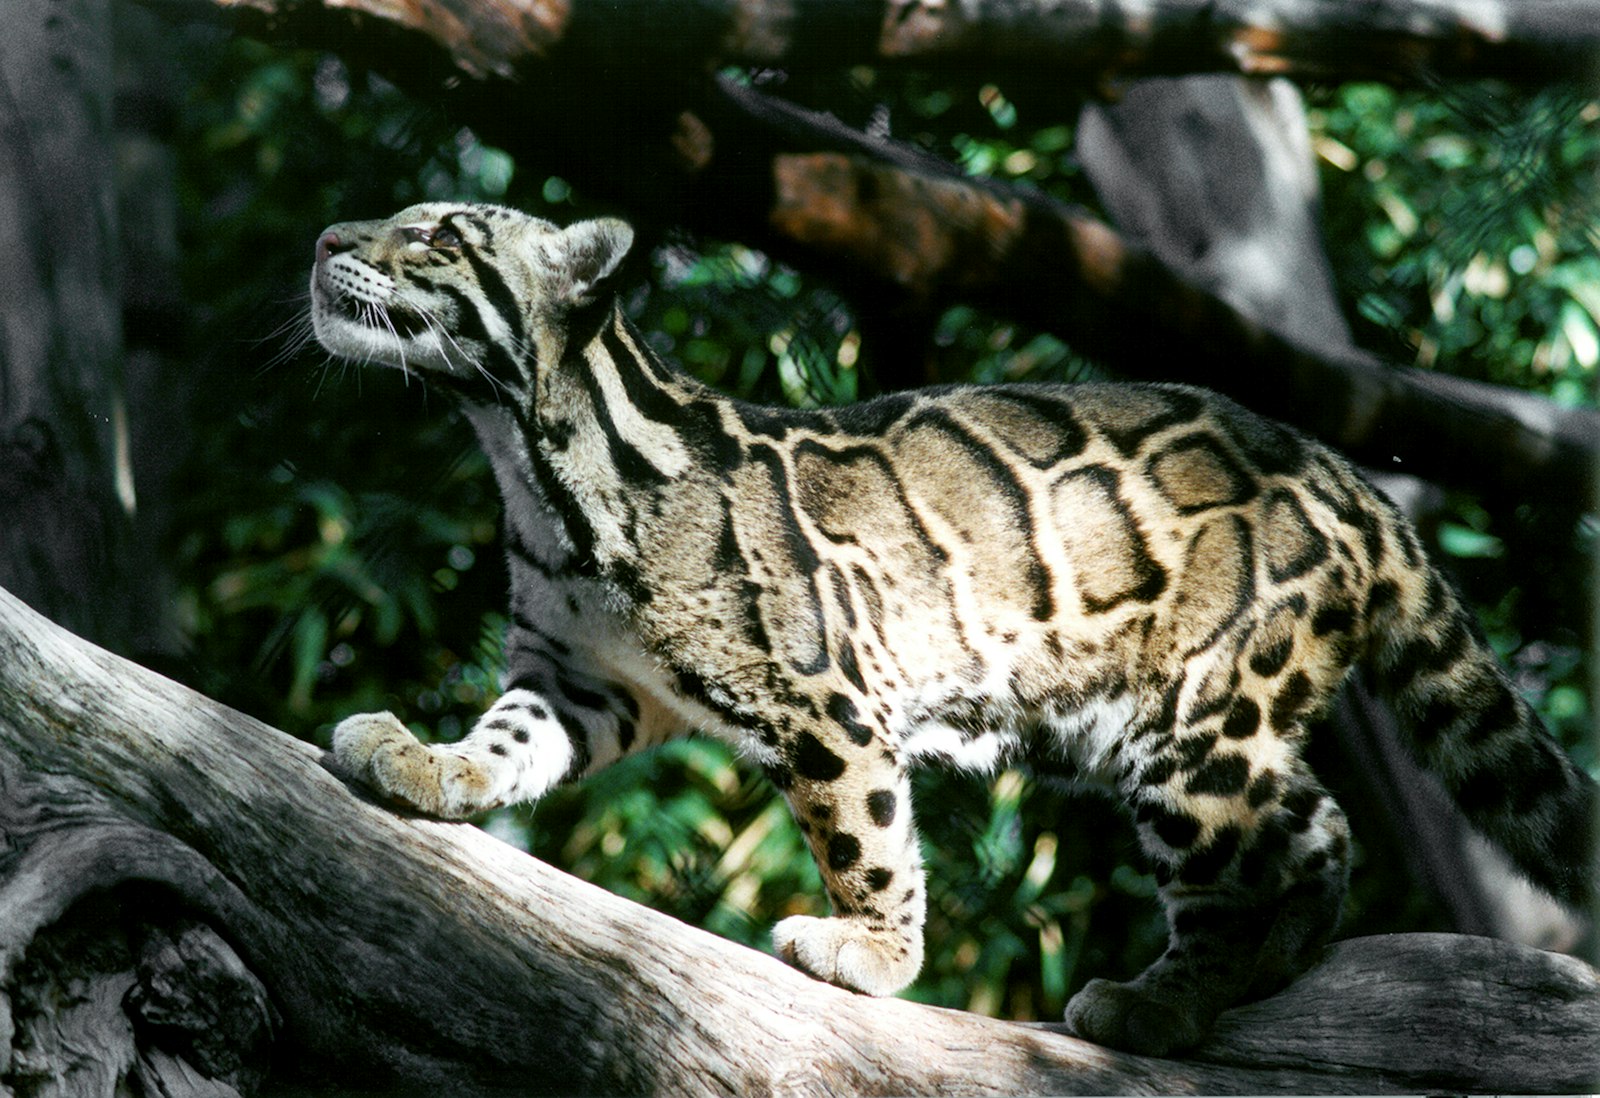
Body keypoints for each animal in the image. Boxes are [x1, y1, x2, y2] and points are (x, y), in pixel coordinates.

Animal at [308, 202, 1597, 1056]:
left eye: (437, 234)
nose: (324, 242)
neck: (531, 461)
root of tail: (1347, 477)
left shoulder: (823, 691)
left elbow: (864, 830)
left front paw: (875, 955)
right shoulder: (576, 676)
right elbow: (506, 741)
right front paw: (426, 762)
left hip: (1197, 723)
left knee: (1266, 854)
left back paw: (1164, 1000)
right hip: (1141, 730)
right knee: (1316, 826)